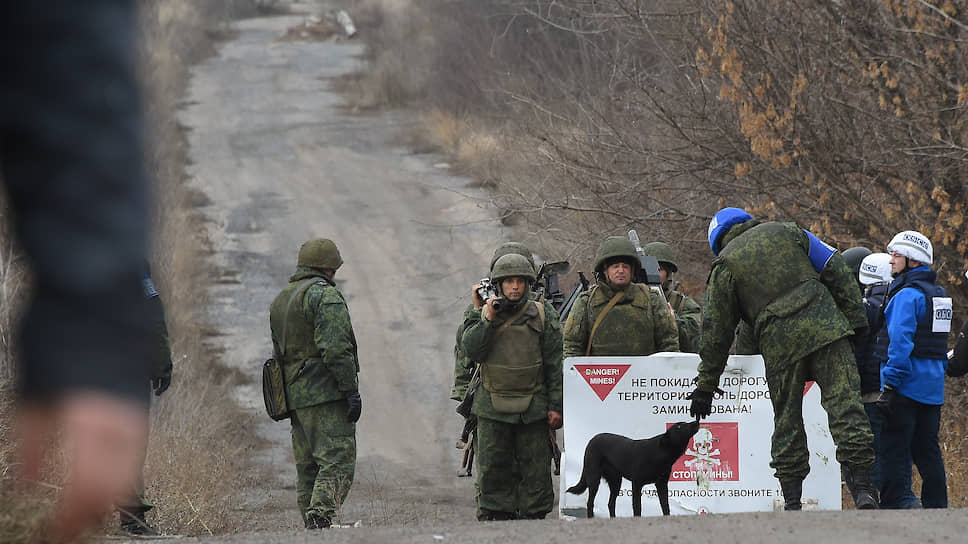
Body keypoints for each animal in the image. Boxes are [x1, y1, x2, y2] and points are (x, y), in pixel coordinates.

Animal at [566, 420, 700, 517]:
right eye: (679, 427)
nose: (696, 421)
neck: (660, 453)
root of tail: (592, 440)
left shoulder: (662, 484)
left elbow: (665, 506)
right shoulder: (637, 484)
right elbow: (637, 507)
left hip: (616, 482)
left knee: (610, 503)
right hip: (594, 478)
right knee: (590, 503)